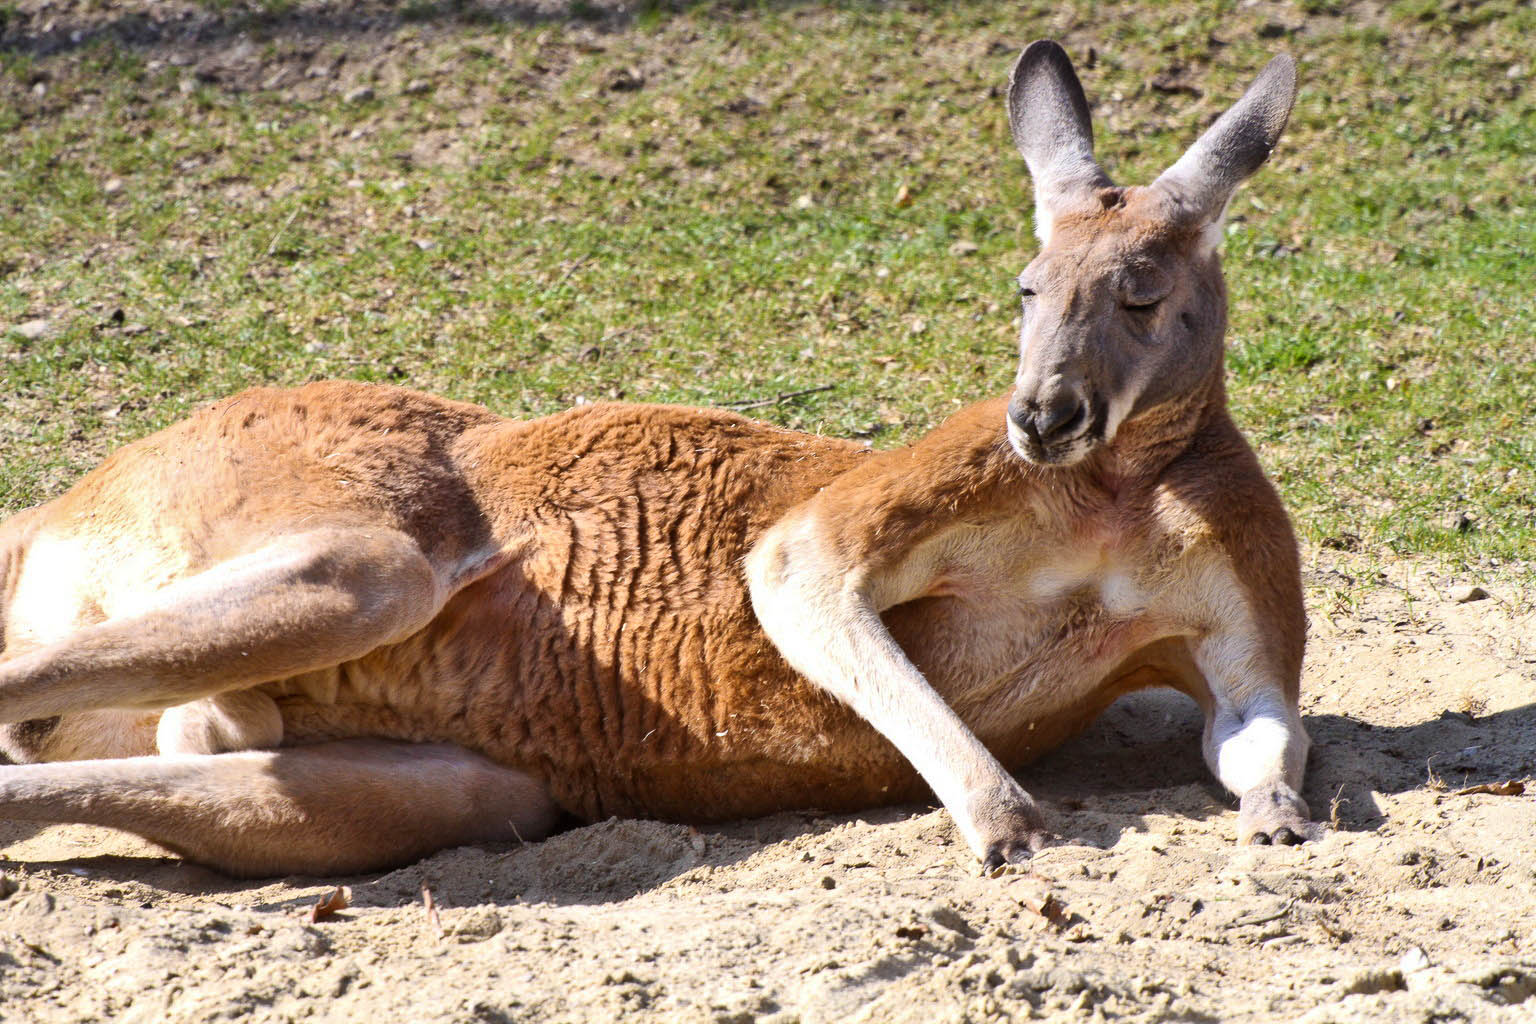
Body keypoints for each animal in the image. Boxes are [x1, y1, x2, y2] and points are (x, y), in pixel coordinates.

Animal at [0, 41, 1313, 878]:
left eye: (1141, 296)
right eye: (1028, 290)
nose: (1039, 417)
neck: (1120, 489)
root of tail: (55, 510)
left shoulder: (1237, 585)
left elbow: (1253, 726)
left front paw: (1281, 816)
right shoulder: (895, 499)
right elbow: (800, 572)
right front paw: (1008, 824)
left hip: (464, 781)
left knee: (163, 761)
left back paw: (188, 732)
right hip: (357, 547)